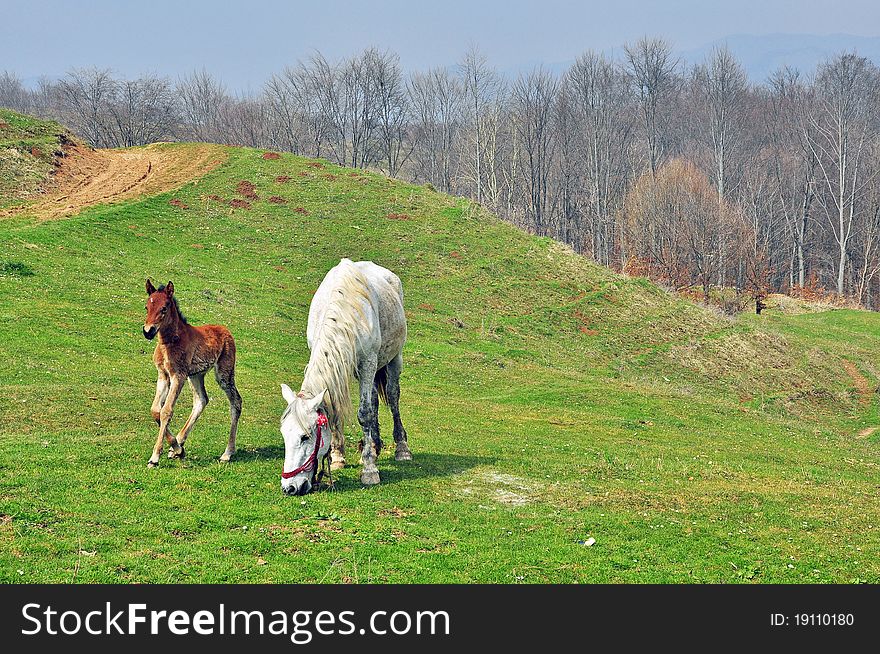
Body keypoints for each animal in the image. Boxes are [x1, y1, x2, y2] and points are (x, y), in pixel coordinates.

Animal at [143, 280, 242, 468]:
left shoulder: (178, 375)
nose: (148, 331)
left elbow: (166, 411)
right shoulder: (163, 375)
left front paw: (154, 457)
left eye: (164, 308)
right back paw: (178, 444)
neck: (169, 342)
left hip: (224, 373)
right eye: (146, 306)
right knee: (201, 400)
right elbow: (155, 410)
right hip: (196, 375)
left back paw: (227, 453)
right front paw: (177, 448)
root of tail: (226, 331)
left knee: (236, 401)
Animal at [278, 258, 412, 494]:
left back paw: (401, 449)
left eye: (305, 437)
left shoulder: (367, 363)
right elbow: (337, 409)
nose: (290, 487)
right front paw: (338, 457)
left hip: (393, 359)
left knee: (393, 398)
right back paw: (374, 447)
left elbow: (365, 414)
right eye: (284, 434)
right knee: (375, 401)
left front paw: (369, 471)